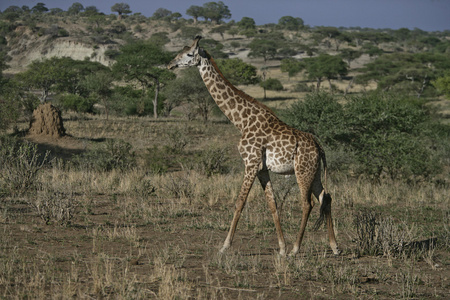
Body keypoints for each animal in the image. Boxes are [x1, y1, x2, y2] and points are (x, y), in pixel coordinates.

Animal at [169, 35, 342, 255]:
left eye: (189, 54)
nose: (170, 64)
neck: (241, 121)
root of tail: (319, 147)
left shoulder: (250, 163)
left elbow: (239, 202)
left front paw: (225, 246)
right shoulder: (262, 169)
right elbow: (273, 204)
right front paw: (281, 248)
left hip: (302, 171)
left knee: (307, 204)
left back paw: (296, 249)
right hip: (315, 172)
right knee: (325, 198)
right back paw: (334, 247)